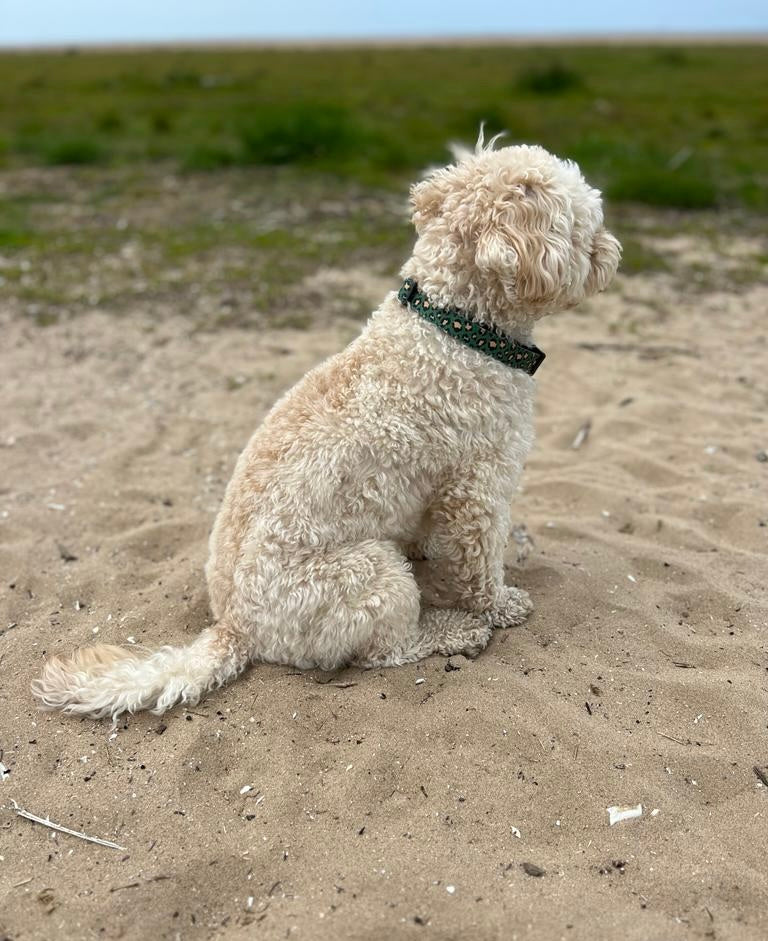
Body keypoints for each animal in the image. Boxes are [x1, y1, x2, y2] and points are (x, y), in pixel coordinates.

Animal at [33, 134, 624, 720]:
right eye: (585, 228)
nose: (612, 252)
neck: (454, 328)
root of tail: (234, 628)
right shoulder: (478, 487)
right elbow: (479, 565)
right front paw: (499, 605)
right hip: (371, 577)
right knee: (387, 649)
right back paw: (451, 631)